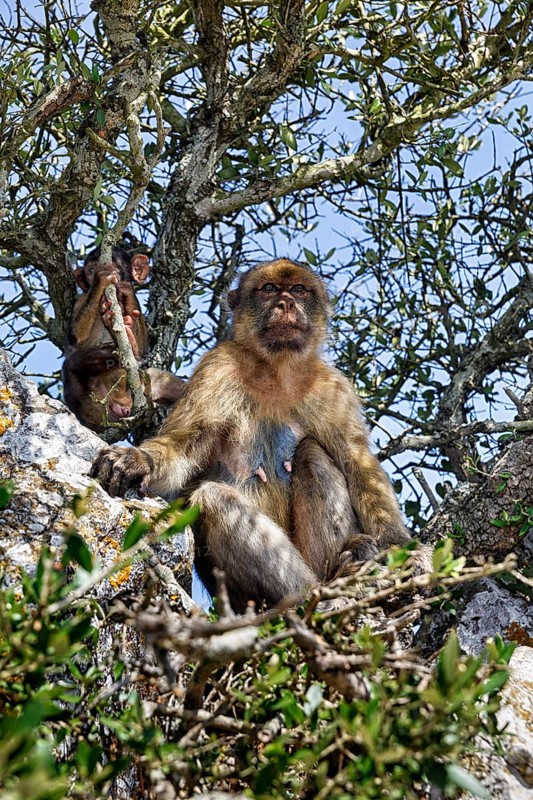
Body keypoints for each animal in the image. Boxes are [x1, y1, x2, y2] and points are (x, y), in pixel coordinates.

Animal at [63, 247, 185, 433]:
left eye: (116, 265)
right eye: (91, 270)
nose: (96, 273)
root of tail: (122, 409)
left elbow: (142, 350)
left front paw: (127, 293)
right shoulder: (81, 300)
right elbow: (75, 336)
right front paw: (101, 279)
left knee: (160, 378)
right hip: (96, 405)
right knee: (72, 363)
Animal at [91, 258, 427, 611]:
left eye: (298, 289)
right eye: (268, 289)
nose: (286, 303)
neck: (276, 369)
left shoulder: (334, 388)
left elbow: (358, 464)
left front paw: (404, 548)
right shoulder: (217, 368)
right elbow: (185, 446)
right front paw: (138, 459)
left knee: (312, 453)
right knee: (216, 499)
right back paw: (317, 591)